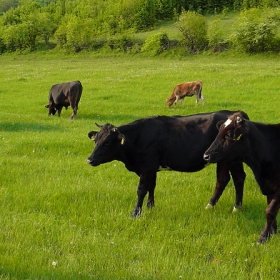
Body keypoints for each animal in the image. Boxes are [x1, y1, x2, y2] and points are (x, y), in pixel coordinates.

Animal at [86, 110, 248, 218]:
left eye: (107, 142)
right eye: (96, 140)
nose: (90, 159)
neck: (138, 136)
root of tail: (235, 113)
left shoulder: (146, 167)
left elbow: (141, 190)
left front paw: (136, 213)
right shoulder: (151, 168)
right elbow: (151, 186)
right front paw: (150, 206)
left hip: (232, 160)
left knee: (238, 178)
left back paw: (236, 207)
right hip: (223, 160)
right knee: (223, 180)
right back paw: (210, 205)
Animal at [202, 111, 280, 243]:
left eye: (229, 135)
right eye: (219, 132)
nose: (206, 156)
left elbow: (270, 211)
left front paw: (263, 237)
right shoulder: (268, 185)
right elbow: (270, 208)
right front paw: (272, 233)